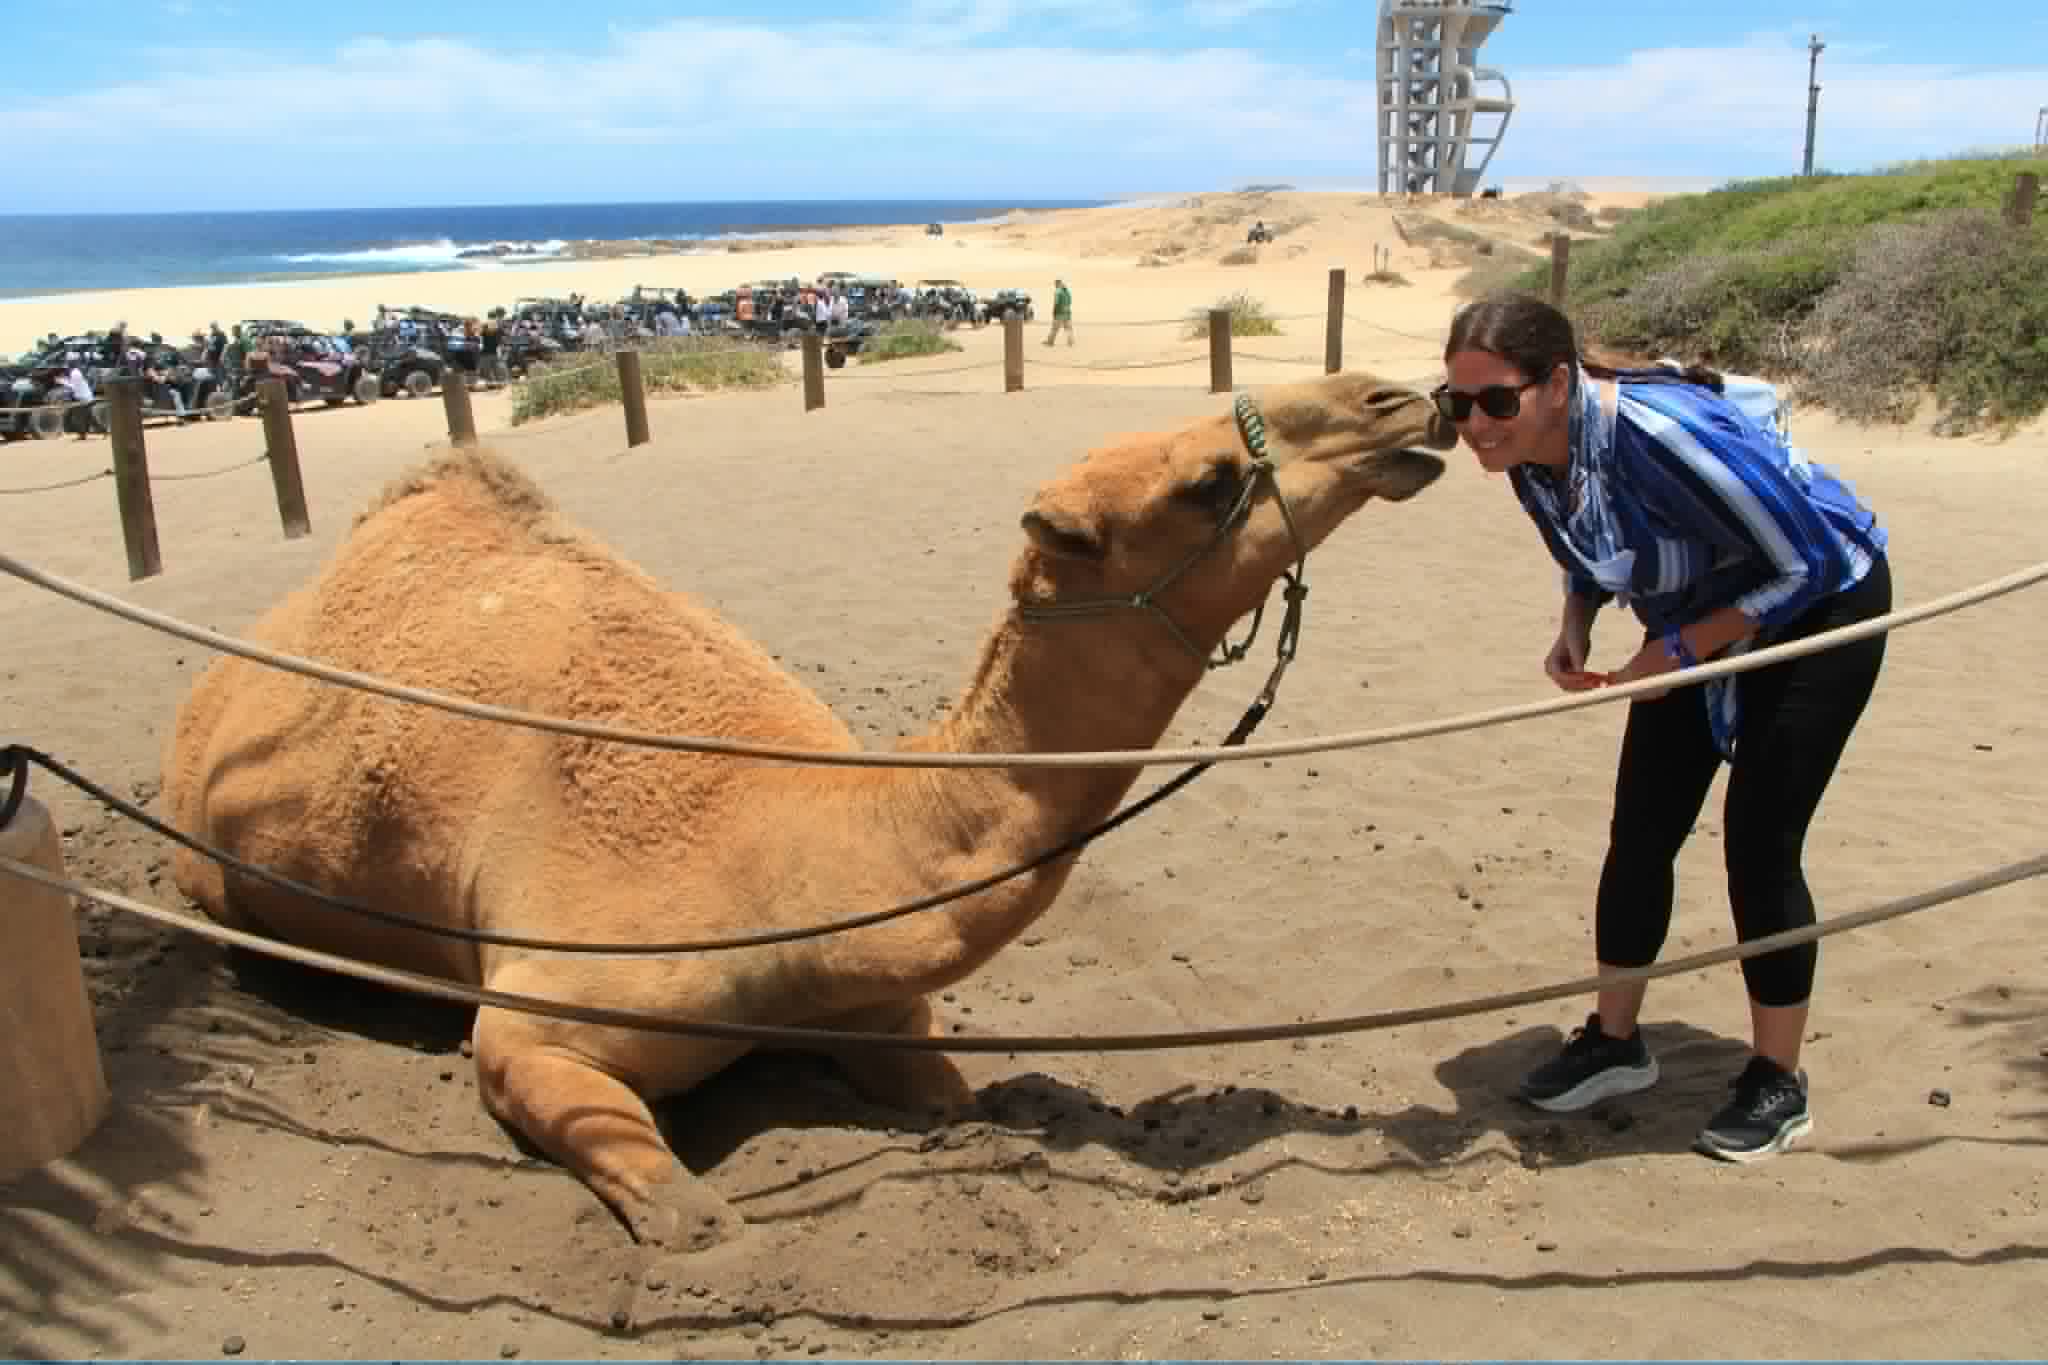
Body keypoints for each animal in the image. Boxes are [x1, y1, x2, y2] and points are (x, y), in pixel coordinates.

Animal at [162, 371, 1452, 1249]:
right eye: (1206, 482)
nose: (1401, 399)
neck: (782, 851)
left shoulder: (882, 1010)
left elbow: (946, 1099)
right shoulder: (537, 1018)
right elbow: (687, 1215)